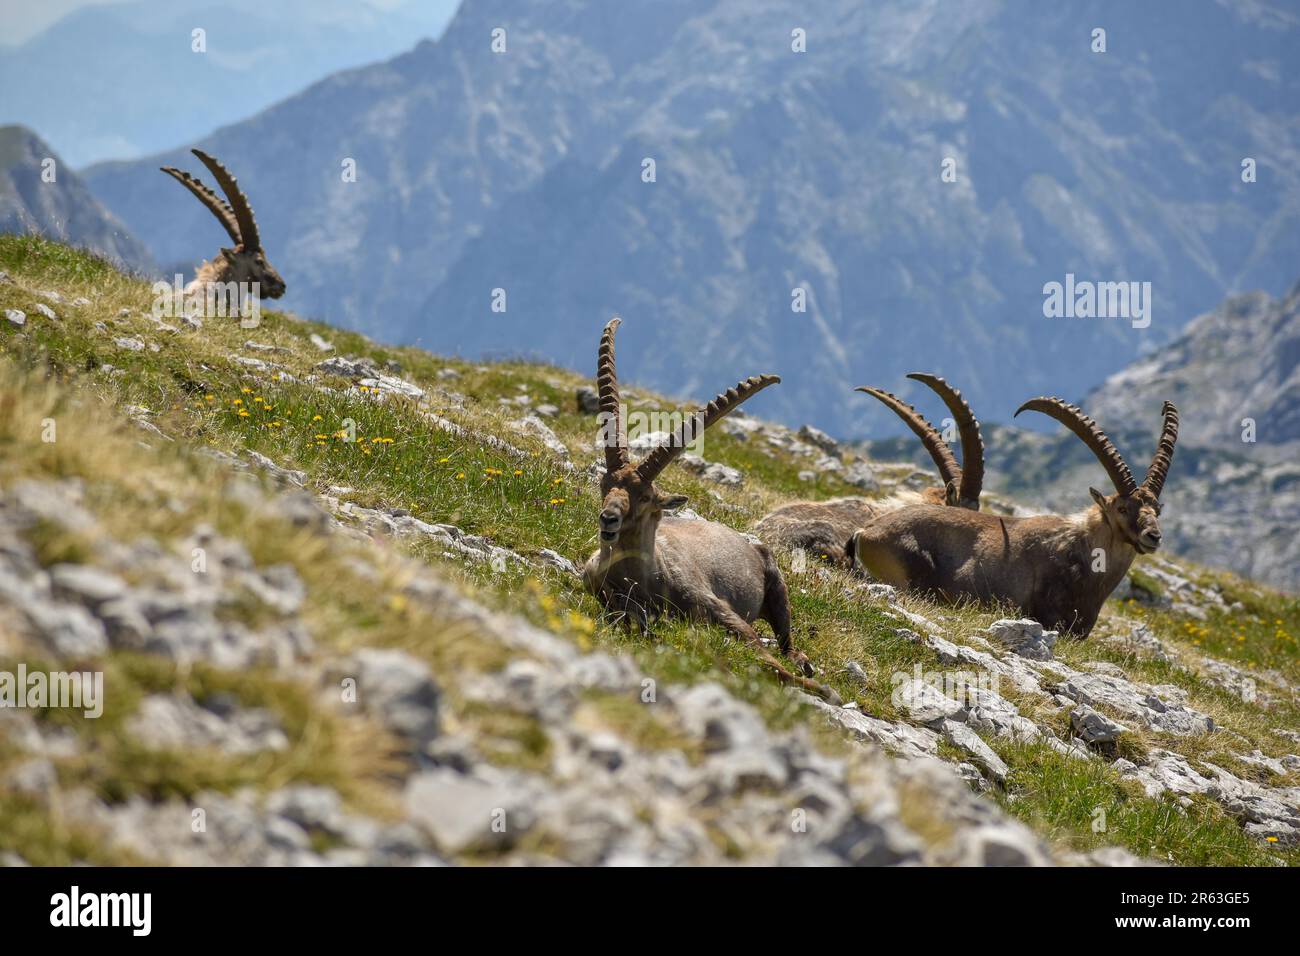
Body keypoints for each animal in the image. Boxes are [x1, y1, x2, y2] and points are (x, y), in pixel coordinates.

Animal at [582, 317, 839, 702]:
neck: (643, 579)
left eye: (644, 497)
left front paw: (823, 690)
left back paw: (804, 662)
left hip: (776, 585)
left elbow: (762, 653)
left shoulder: (720, 609)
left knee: (784, 642)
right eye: (604, 484)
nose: (608, 519)